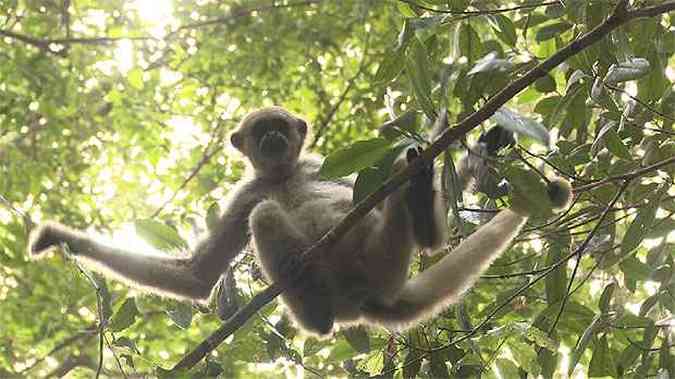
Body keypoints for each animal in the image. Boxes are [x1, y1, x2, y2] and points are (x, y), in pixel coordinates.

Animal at [29, 107, 572, 336]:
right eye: (259, 132)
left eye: (279, 128)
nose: (272, 138)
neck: (283, 174)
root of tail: (370, 300)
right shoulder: (244, 194)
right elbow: (200, 276)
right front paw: (66, 241)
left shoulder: (319, 164)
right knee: (267, 214)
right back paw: (315, 312)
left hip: (383, 255)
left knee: (421, 232)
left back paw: (420, 198)